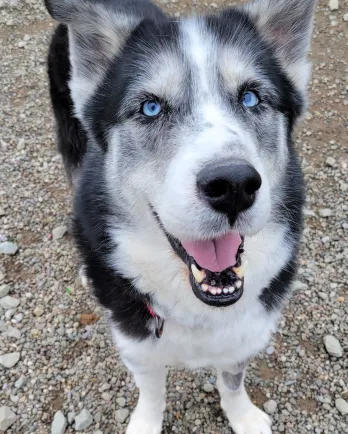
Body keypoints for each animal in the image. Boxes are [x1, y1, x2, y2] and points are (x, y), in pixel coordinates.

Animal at [44, 0, 316, 430]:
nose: (233, 185)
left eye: (251, 98)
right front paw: (146, 423)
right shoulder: (138, 345)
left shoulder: (245, 333)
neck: (200, 308)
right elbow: (152, 392)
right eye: (151, 107)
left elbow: (232, 380)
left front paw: (243, 417)